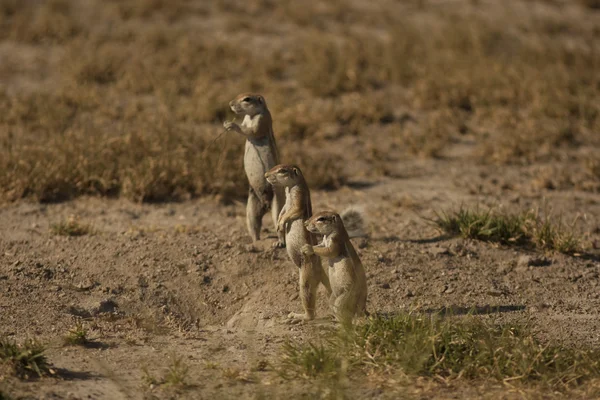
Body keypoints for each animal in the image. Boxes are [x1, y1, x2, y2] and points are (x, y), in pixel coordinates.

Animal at [224, 93, 284, 247]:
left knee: (278, 225)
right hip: (251, 209)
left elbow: (250, 131)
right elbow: (246, 128)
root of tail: (265, 206)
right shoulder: (246, 120)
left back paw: (279, 242)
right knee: (255, 226)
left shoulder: (262, 120)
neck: (252, 115)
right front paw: (226, 124)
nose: (230, 104)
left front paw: (231, 124)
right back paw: (254, 242)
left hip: (276, 206)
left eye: (247, 99)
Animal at [266, 163, 332, 322]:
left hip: (306, 279)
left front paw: (281, 224)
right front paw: (278, 224)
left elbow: (293, 211)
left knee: (311, 312)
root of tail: (320, 270)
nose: (265, 175)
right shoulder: (285, 203)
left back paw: (298, 316)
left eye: (282, 170)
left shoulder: (298, 197)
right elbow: (282, 211)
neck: (290, 188)